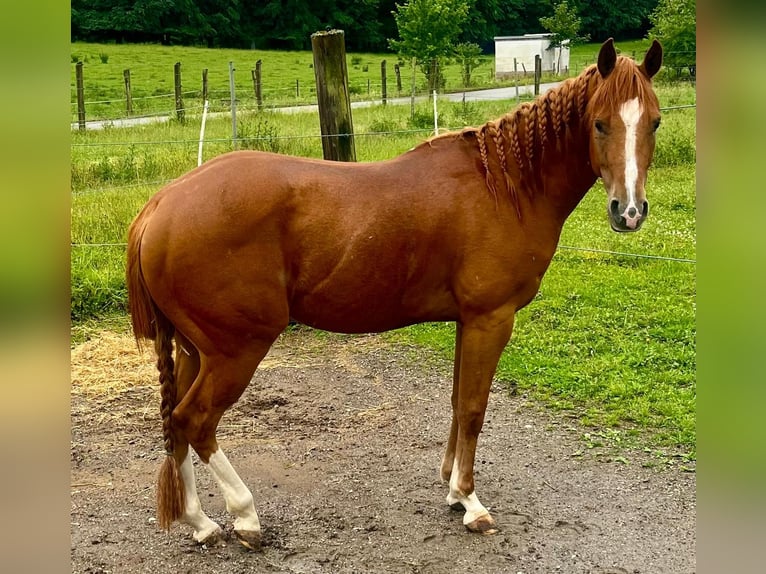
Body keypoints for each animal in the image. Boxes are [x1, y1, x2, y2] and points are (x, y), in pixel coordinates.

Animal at [127, 38, 662, 550]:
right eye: (600, 124)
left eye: (654, 122)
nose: (629, 211)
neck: (504, 186)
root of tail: (161, 204)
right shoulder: (491, 319)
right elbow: (474, 409)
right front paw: (471, 502)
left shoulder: (468, 321)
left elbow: (458, 402)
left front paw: (452, 489)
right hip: (235, 351)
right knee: (196, 421)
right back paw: (245, 517)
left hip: (196, 351)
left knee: (175, 425)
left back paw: (200, 523)